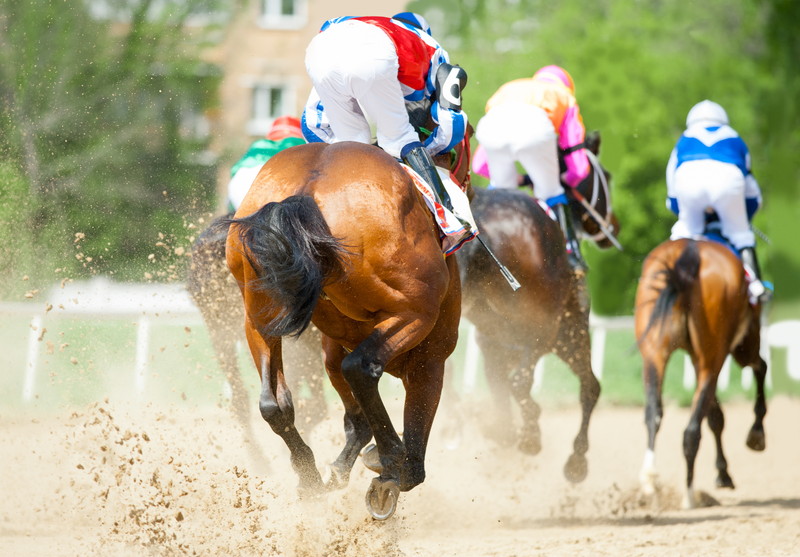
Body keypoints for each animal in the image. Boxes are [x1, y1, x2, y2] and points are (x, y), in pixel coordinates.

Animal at [225, 136, 472, 520]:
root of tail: (307, 189)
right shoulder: (430, 357)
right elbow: (412, 439)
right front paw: (393, 471)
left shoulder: (331, 344)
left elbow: (354, 414)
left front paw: (341, 468)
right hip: (414, 314)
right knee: (361, 368)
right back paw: (391, 458)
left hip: (258, 315)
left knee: (273, 403)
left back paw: (309, 473)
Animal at [454, 132, 616, 480]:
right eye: (606, 178)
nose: (613, 226)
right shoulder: (566, 334)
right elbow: (590, 388)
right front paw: (575, 460)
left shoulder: (494, 344)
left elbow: (502, 393)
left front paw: (502, 431)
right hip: (546, 329)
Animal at [636, 239, 764, 508]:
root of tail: (689, 249)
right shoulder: (738, 344)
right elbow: (759, 370)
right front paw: (754, 437)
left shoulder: (694, 359)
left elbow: (714, 415)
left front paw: (723, 472)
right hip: (721, 353)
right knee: (692, 430)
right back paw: (689, 495)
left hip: (654, 353)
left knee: (653, 413)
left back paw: (650, 481)